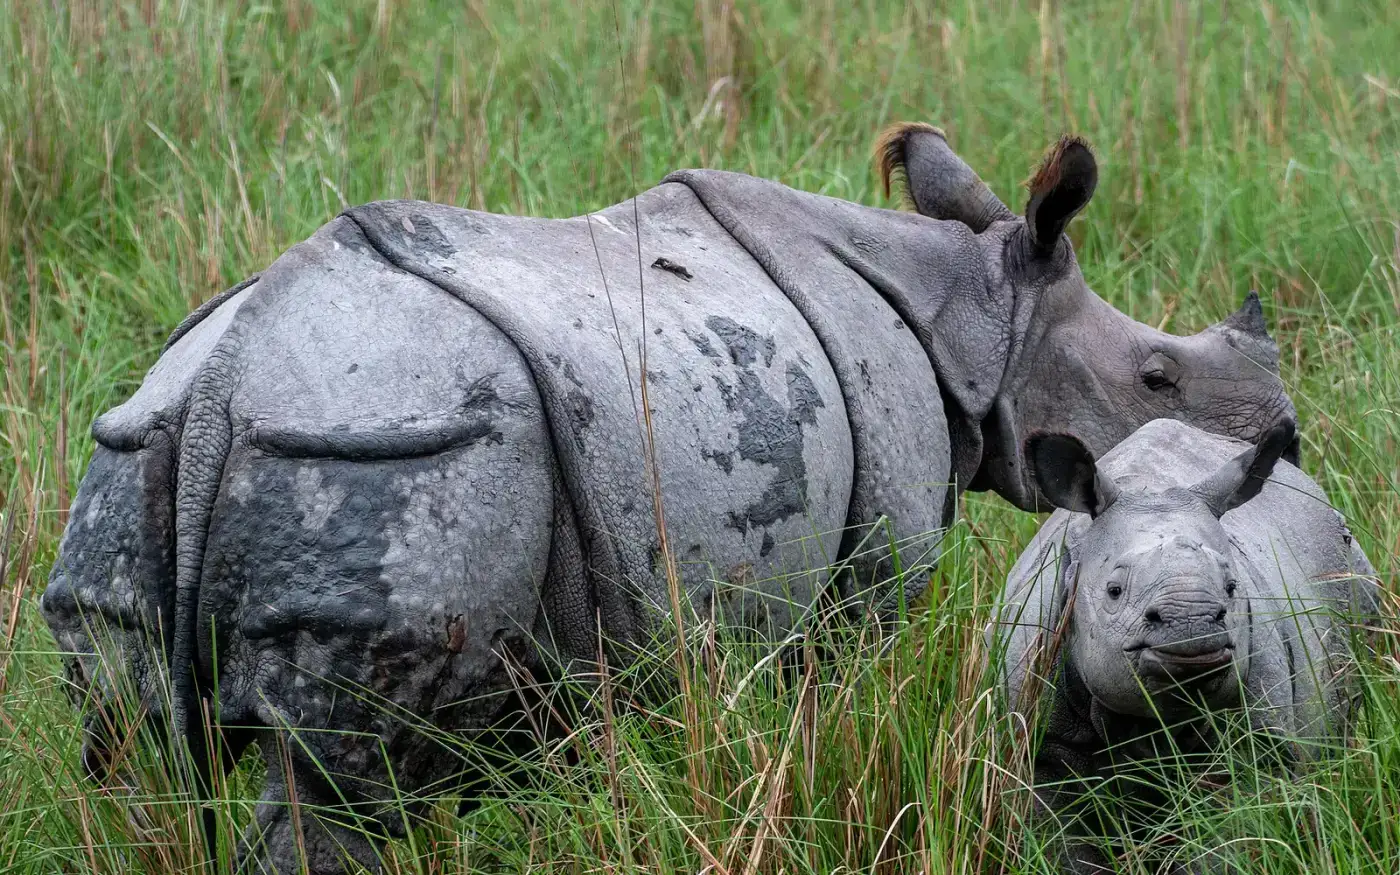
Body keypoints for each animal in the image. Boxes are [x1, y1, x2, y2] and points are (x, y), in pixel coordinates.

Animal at [42, 124, 1296, 873]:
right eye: (1154, 378)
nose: (1278, 432)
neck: (971, 311)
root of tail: (224, 387)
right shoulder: (859, 580)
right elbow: (835, 699)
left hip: (141, 453)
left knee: (128, 754)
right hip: (385, 456)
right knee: (328, 790)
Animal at [995, 418, 1378, 873]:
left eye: (1232, 588)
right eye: (1113, 590)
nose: (1191, 622)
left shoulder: (1255, 746)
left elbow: (1226, 840)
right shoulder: (1043, 747)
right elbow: (1063, 844)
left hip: (1353, 572)